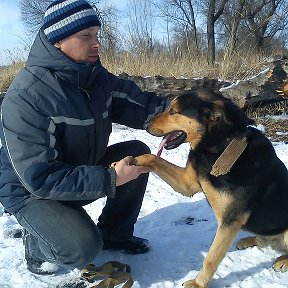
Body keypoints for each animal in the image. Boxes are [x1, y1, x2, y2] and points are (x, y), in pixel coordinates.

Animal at [133, 89, 288, 286]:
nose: (145, 124)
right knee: (265, 238)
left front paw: (198, 284)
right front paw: (131, 162)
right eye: (169, 107)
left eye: (173, 111)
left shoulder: (229, 222)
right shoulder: (187, 183)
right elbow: (153, 157)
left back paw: (283, 260)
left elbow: (211, 258)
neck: (220, 147)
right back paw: (250, 239)